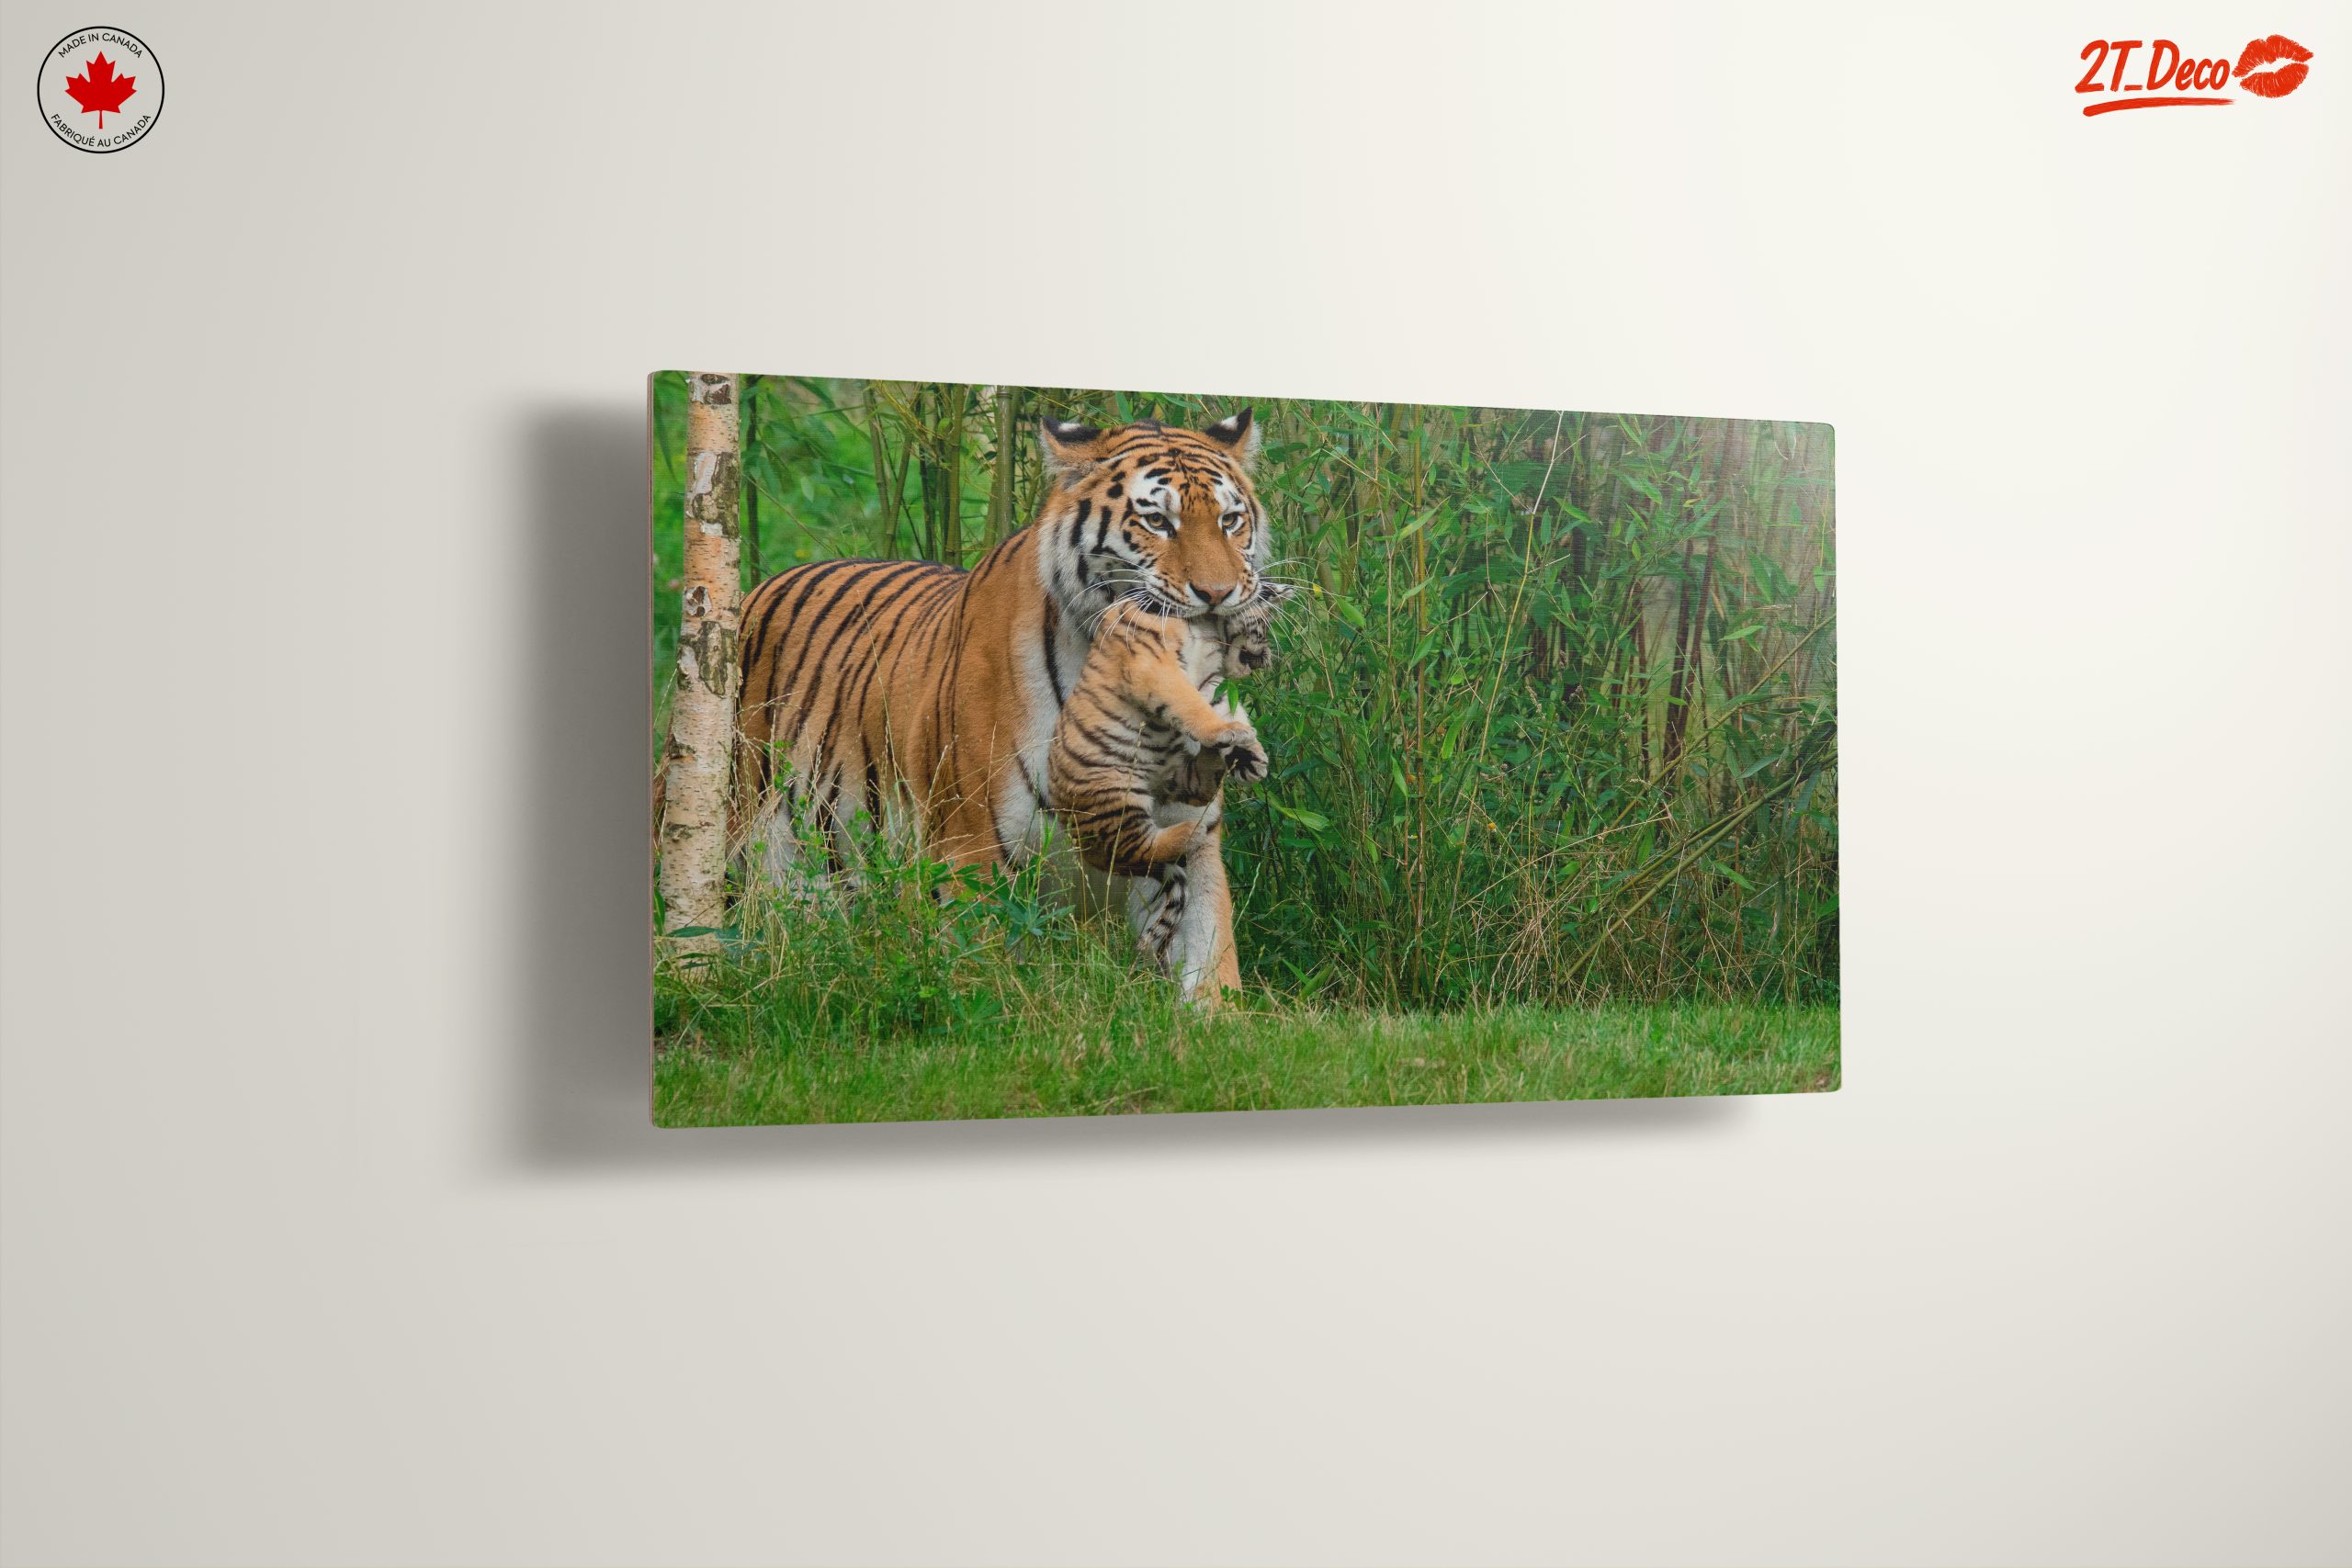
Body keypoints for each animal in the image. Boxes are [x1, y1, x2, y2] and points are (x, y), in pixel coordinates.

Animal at [1046, 588, 1291, 878]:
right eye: (1265, 625)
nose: (1265, 660)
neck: (1208, 625)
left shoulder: (1209, 682)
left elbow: (1226, 708)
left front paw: (1251, 753)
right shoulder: (1154, 664)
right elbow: (1190, 704)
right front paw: (1230, 732)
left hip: (1170, 778)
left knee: (1197, 789)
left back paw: (1213, 761)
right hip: (1113, 793)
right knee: (1135, 849)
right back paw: (1192, 832)